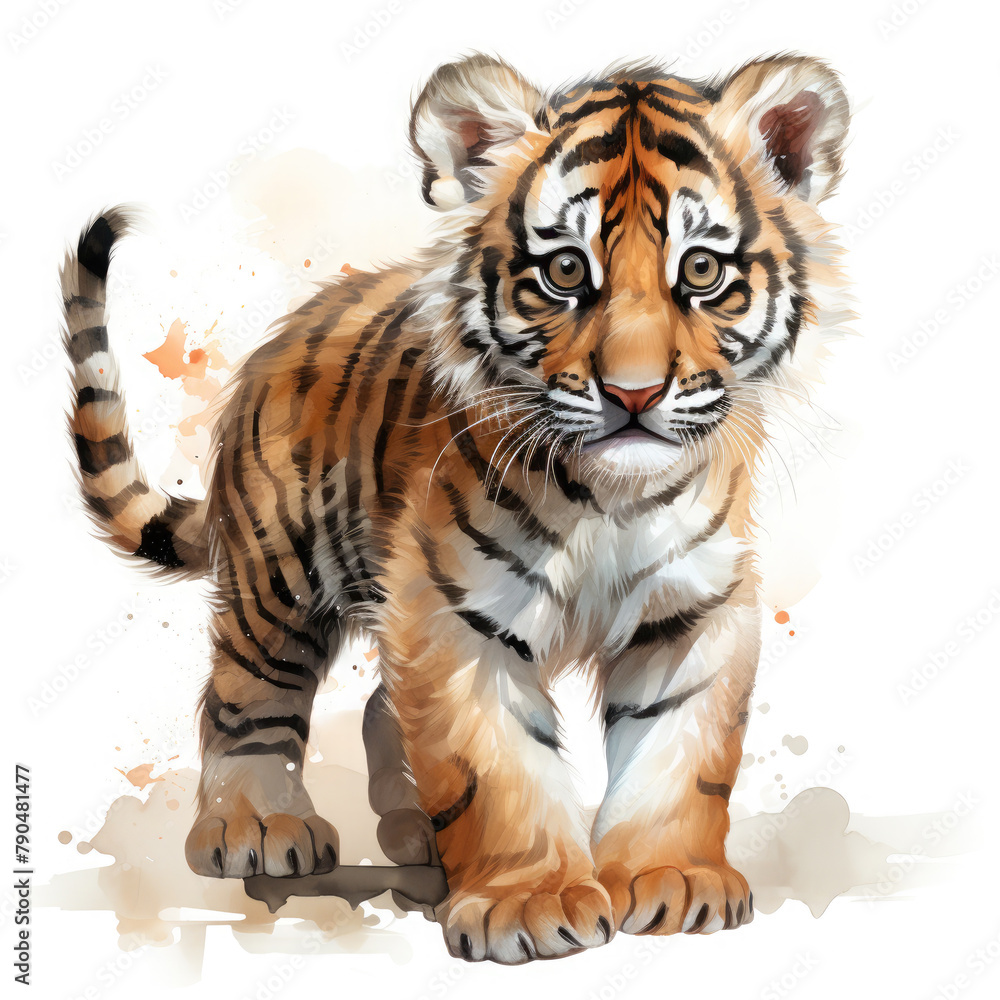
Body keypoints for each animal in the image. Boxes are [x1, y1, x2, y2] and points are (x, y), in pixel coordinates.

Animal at [60, 51, 850, 963]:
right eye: (565, 271)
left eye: (701, 272)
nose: (634, 394)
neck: (611, 498)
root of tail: (282, 339)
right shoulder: (456, 612)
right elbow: (493, 766)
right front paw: (530, 902)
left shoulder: (692, 609)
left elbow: (680, 757)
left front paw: (671, 878)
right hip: (280, 572)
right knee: (247, 695)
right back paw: (255, 826)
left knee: (379, 704)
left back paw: (413, 833)